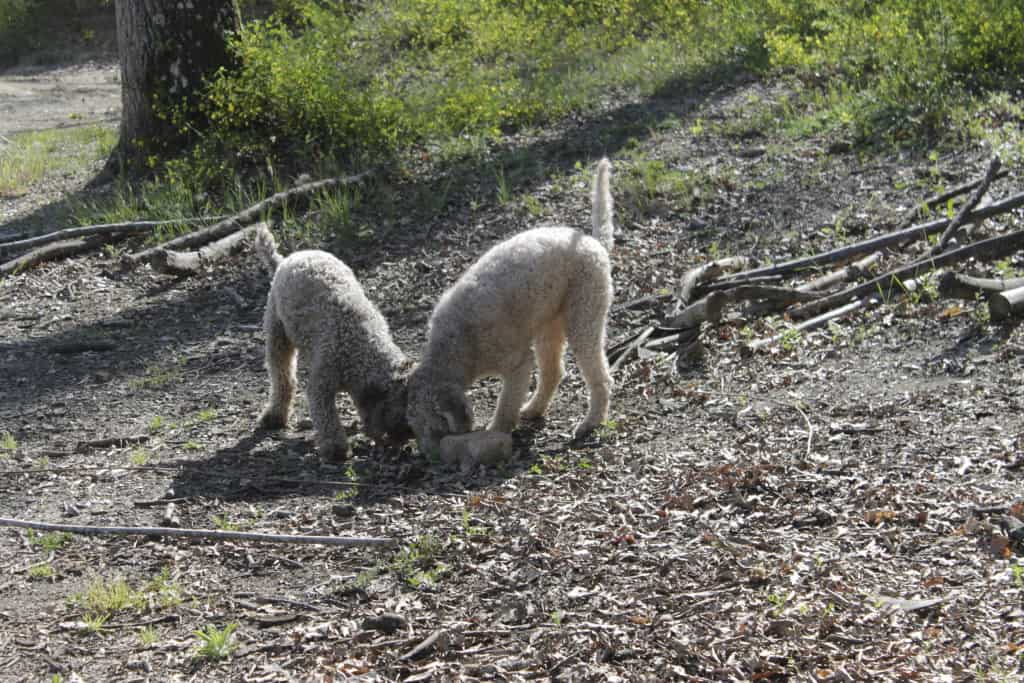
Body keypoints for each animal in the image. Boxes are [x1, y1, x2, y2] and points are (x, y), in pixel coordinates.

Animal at [251, 228, 411, 458]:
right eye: (394, 423)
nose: (400, 446)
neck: (360, 347)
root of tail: (288, 258)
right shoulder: (321, 384)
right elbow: (326, 418)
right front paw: (336, 448)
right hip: (277, 335)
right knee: (282, 379)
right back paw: (274, 416)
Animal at [407, 156, 614, 450]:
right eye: (414, 427)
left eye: (433, 426)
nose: (428, 456)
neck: (457, 344)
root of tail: (593, 242)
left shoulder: (517, 363)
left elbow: (506, 403)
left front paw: (496, 431)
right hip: (548, 324)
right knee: (554, 371)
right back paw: (533, 409)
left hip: (584, 315)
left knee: (599, 376)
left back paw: (591, 422)